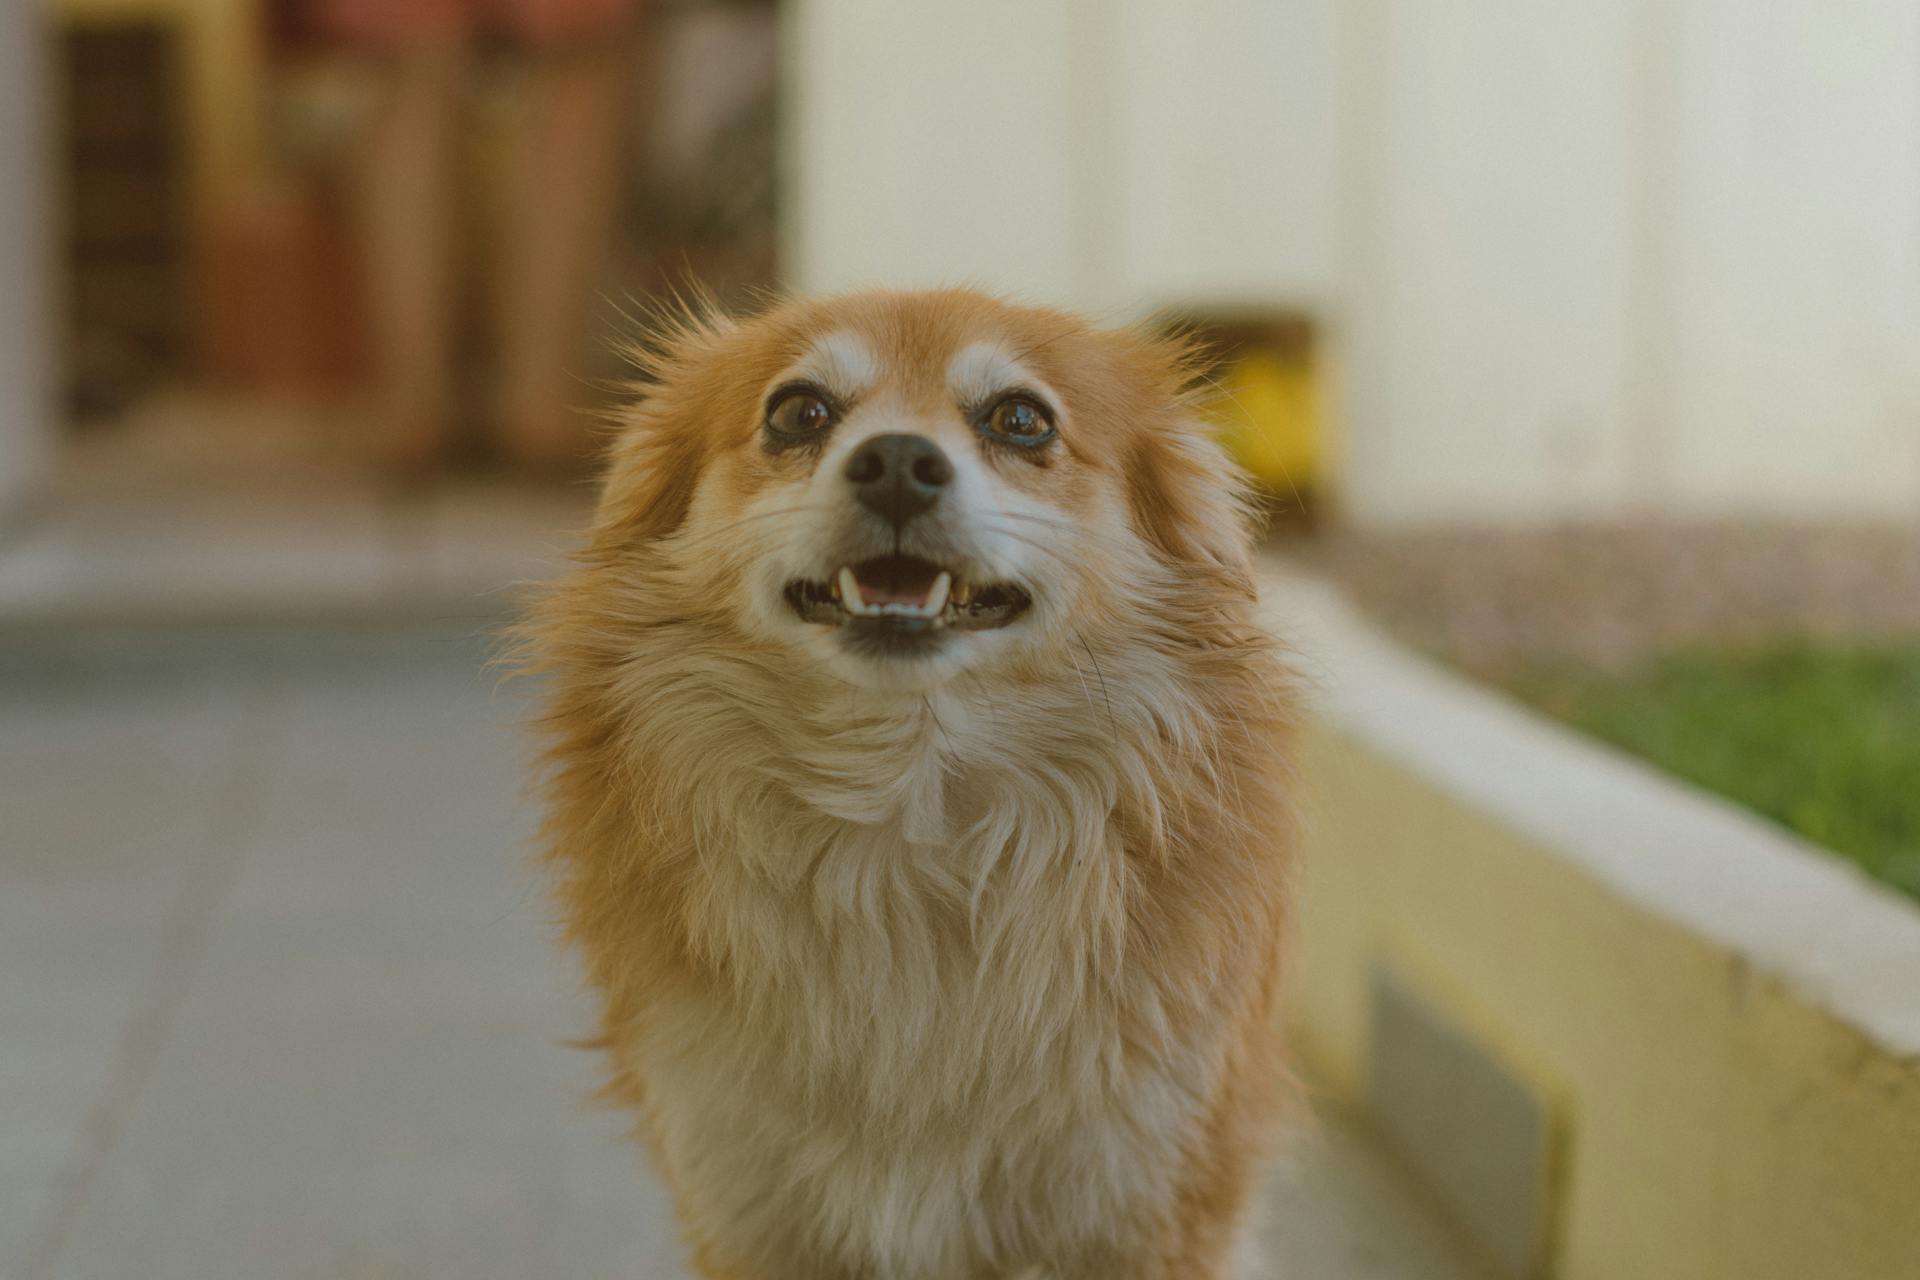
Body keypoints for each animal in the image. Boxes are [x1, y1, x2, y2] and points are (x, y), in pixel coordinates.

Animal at [522, 289, 1290, 1280]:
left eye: (1022, 420)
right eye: (798, 413)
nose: (896, 461)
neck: (910, 806)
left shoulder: (1149, 1192)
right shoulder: (743, 1193)